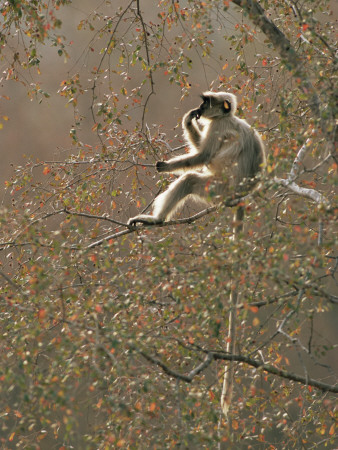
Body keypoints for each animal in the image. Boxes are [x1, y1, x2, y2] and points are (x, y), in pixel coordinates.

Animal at [128, 91, 266, 225]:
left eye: (206, 102)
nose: (200, 106)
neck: (225, 117)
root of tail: (242, 194)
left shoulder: (217, 125)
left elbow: (204, 156)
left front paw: (167, 166)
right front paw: (188, 121)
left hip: (221, 190)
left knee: (189, 179)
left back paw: (157, 219)